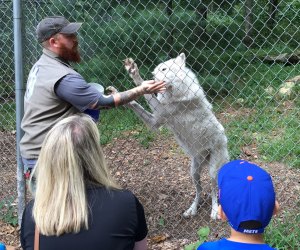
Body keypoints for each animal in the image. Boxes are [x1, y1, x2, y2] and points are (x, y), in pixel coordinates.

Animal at [123, 53, 229, 219]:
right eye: (154, 72)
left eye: (164, 69)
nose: (152, 78)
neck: (176, 92)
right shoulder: (156, 120)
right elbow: (136, 104)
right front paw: (117, 94)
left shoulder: (160, 112)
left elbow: (147, 92)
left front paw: (138, 78)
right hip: (194, 172)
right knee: (199, 191)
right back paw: (192, 209)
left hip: (212, 171)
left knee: (213, 191)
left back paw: (213, 211)